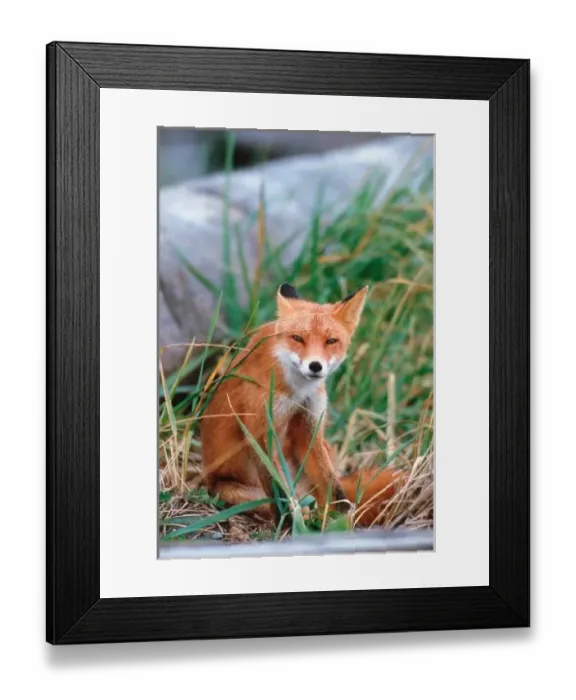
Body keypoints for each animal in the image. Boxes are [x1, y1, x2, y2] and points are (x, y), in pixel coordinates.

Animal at [198, 282, 404, 525]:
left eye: (330, 341)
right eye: (297, 338)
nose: (315, 366)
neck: (296, 390)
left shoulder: (308, 423)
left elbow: (330, 482)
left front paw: (340, 514)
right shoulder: (259, 430)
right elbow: (276, 488)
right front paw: (287, 519)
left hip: (324, 449)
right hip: (235, 491)